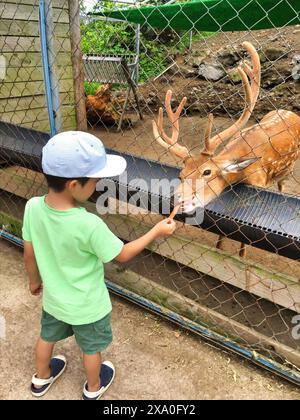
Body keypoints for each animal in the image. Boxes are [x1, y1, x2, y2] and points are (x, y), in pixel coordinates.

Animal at [152, 41, 300, 256]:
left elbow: (244, 238)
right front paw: (219, 247)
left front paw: (241, 255)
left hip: (289, 168)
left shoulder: (260, 183)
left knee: (282, 184)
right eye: (181, 174)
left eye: (207, 172)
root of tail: (291, 112)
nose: (179, 199)